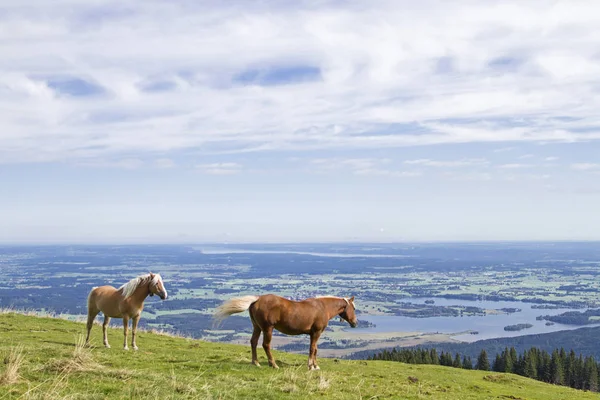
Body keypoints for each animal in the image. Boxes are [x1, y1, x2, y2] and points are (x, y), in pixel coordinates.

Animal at [214, 294, 356, 368]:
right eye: (354, 308)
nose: (355, 322)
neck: (322, 307)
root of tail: (257, 299)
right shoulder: (316, 332)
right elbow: (312, 349)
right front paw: (311, 366)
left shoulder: (314, 334)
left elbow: (315, 349)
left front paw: (315, 365)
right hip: (268, 329)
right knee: (266, 345)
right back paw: (273, 364)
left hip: (257, 327)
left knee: (253, 342)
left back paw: (256, 362)